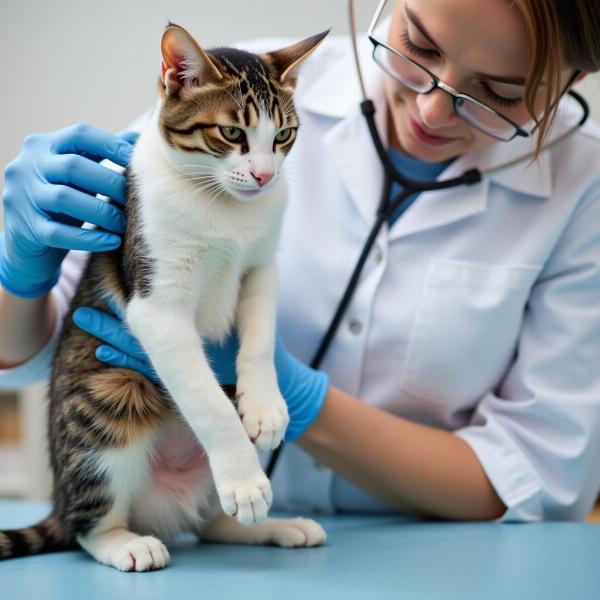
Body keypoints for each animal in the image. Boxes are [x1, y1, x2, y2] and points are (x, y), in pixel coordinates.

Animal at [0, 21, 328, 568]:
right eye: (232, 133)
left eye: (283, 135)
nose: (265, 176)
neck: (224, 206)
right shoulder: (155, 301)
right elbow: (207, 399)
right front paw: (242, 476)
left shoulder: (261, 267)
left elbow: (260, 339)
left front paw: (265, 406)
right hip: (105, 408)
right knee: (86, 525)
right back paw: (126, 542)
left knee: (213, 524)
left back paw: (276, 525)